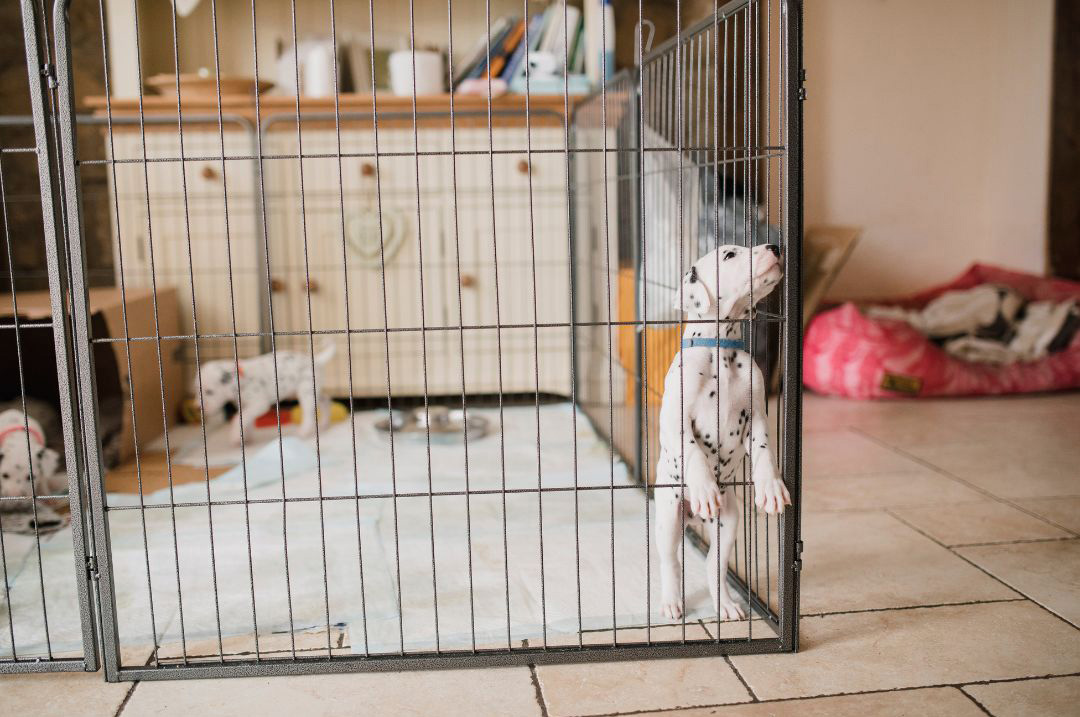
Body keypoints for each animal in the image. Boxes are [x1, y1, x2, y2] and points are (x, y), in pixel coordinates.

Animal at [191, 345, 332, 444]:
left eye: (209, 392)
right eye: (197, 391)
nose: (197, 408)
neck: (241, 378)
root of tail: (317, 360)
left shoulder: (258, 404)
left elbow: (239, 419)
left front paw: (235, 436)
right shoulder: (245, 406)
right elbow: (246, 420)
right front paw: (246, 437)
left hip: (306, 391)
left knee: (309, 413)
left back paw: (304, 431)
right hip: (314, 392)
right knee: (326, 401)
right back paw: (324, 423)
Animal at [648, 241, 794, 621]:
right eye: (730, 255)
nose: (776, 246)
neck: (720, 349)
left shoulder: (756, 415)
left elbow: (764, 451)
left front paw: (770, 486)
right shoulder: (677, 420)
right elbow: (692, 451)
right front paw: (703, 486)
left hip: (729, 521)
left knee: (715, 564)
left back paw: (725, 603)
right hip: (668, 514)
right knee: (670, 561)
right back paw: (671, 600)